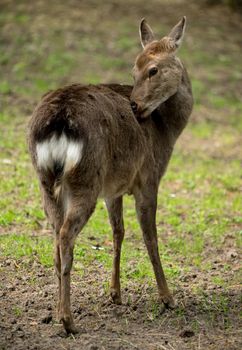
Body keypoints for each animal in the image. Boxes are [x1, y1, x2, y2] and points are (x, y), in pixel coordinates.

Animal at [27, 16, 193, 334]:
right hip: (86, 178)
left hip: (46, 180)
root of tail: (57, 122)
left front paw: (115, 293)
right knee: (65, 234)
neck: (166, 129)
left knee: (55, 237)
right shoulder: (149, 177)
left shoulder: (113, 187)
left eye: (152, 69)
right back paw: (68, 321)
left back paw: (58, 312)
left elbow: (118, 232)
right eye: (134, 70)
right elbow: (150, 237)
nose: (135, 105)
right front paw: (168, 298)